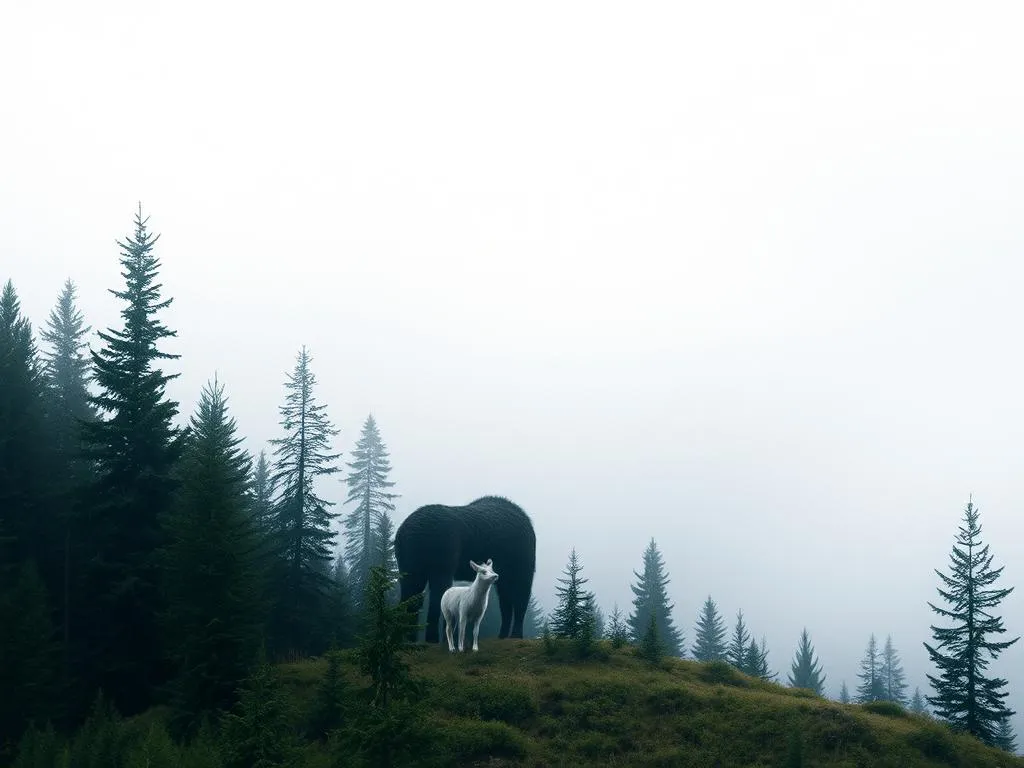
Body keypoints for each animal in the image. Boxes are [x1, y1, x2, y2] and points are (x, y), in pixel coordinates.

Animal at [393, 495, 540, 647]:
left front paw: (438, 640)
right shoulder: (411, 565)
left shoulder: (443, 558)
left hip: (522, 562)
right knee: (506, 600)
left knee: (520, 597)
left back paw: (515, 635)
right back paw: (502, 636)